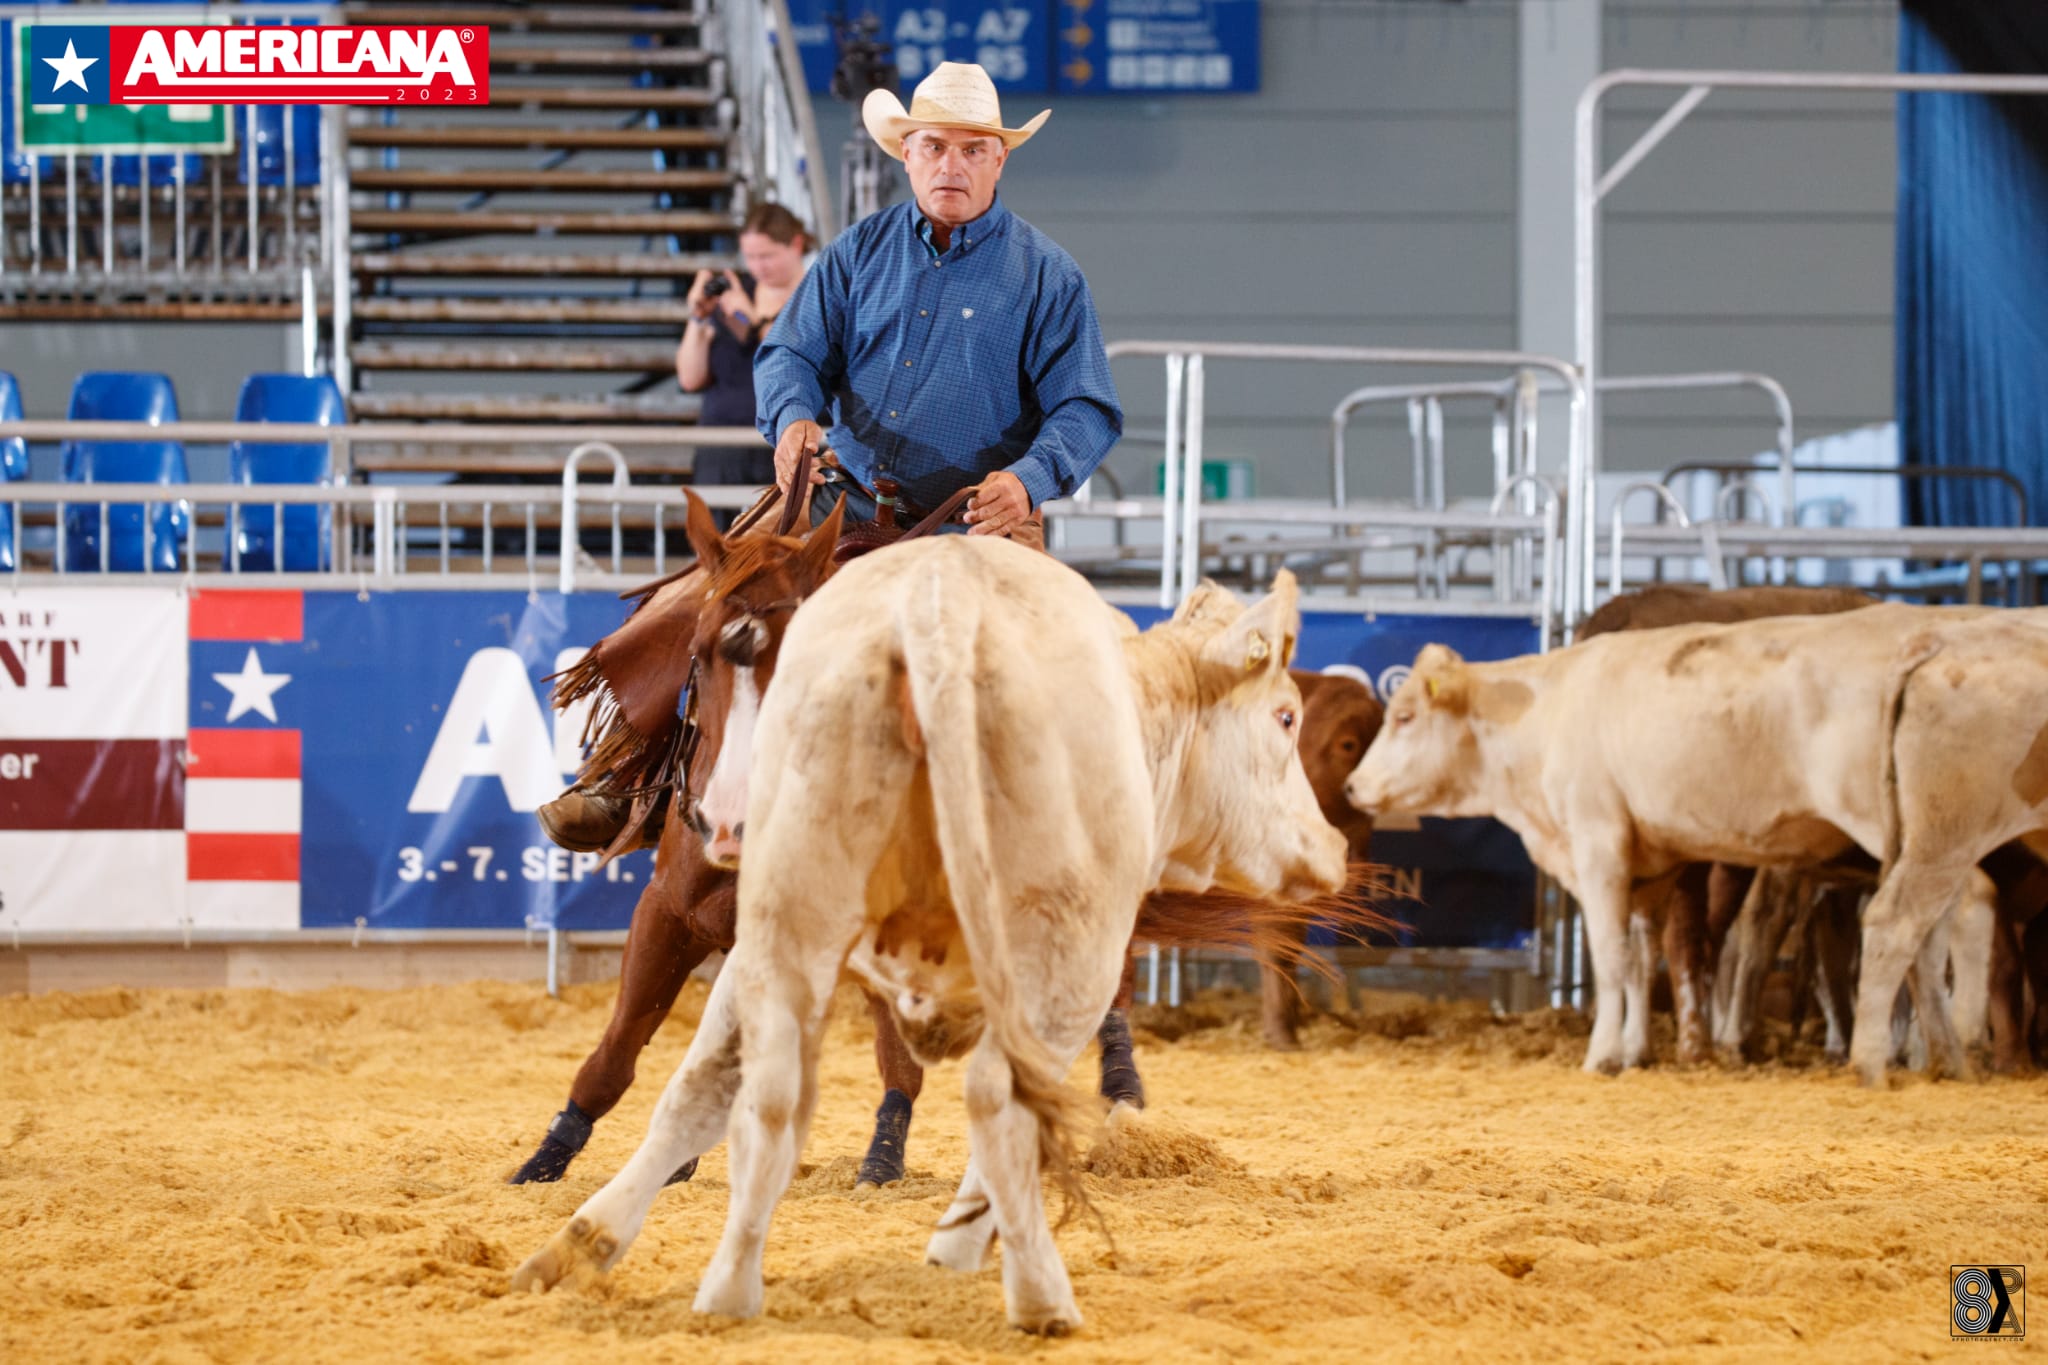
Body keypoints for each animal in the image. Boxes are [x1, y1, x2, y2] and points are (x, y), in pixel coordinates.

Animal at [512, 543, 1350, 1333]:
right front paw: (969, 1241)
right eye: (1285, 716)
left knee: (741, 1091)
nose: (1332, 848)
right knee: (980, 1091)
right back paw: (1033, 1285)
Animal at [1341, 603, 2013, 1084]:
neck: (1545, 716)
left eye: (1403, 717)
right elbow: (1642, 958)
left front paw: (1601, 1054)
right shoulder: (1650, 866)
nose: (1352, 786)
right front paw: (1636, 1048)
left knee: (1953, 910)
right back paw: (1940, 1052)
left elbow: (1610, 958)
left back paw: (1942, 1043)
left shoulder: (1599, 845)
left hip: (1912, 830)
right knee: (1929, 926)